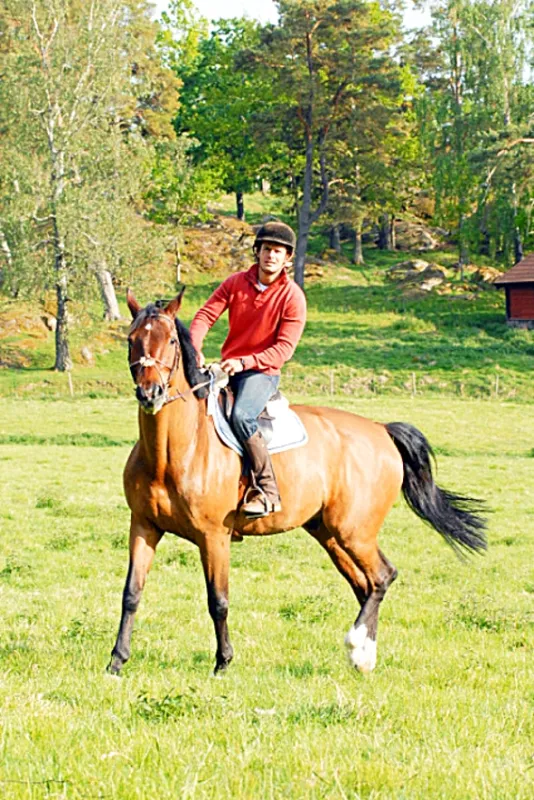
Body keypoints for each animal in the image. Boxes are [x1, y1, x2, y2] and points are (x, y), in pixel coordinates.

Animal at [108, 290, 487, 676]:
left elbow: (218, 600)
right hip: (329, 533)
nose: (150, 393)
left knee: (382, 577)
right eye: (132, 340)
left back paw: (357, 647)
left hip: (355, 532)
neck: (173, 452)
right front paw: (117, 660)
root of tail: (382, 431)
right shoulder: (144, 526)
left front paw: (223, 663)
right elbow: (131, 594)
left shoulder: (213, 537)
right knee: (365, 585)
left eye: (170, 340)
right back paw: (364, 657)